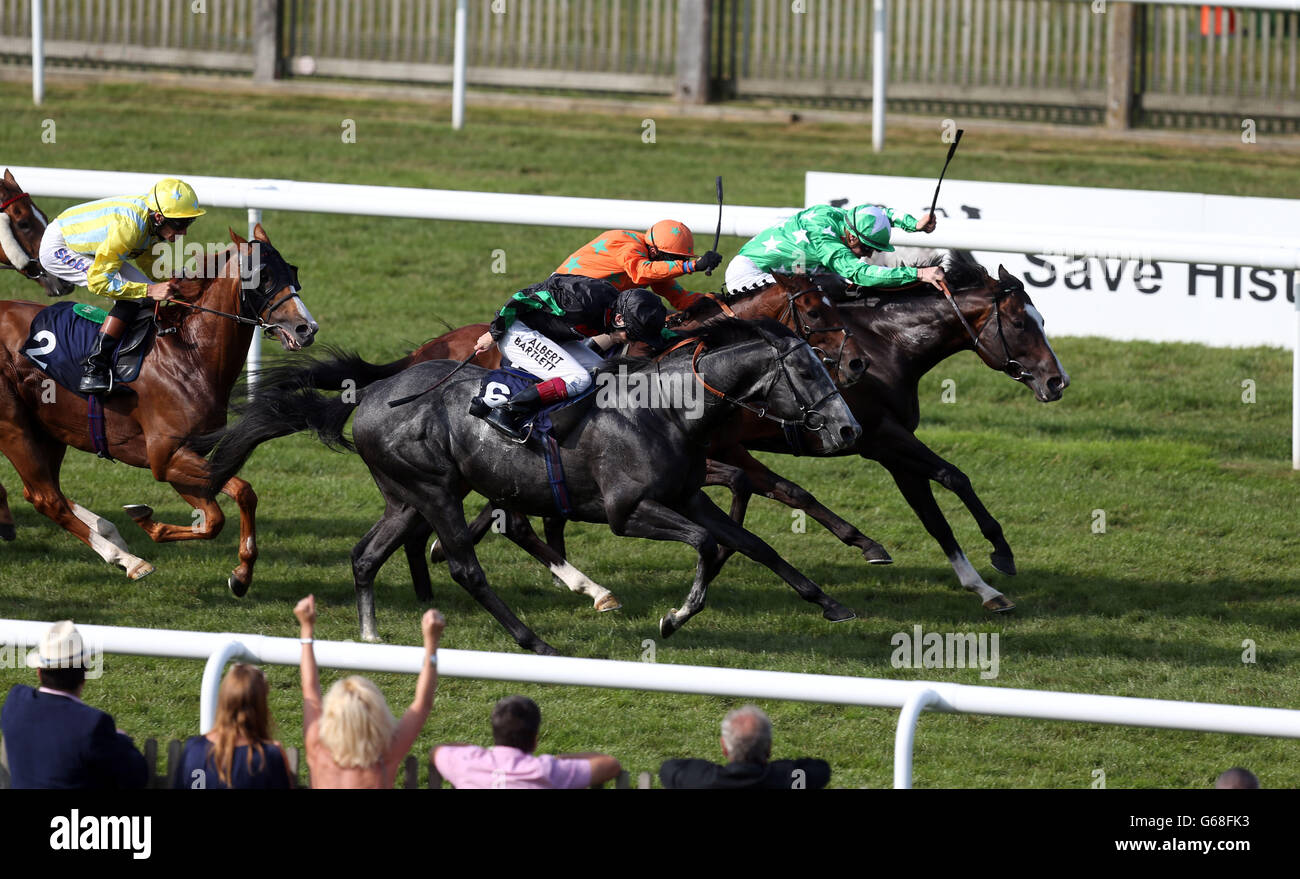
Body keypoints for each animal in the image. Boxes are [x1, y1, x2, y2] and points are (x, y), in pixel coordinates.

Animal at [0, 223, 317, 592]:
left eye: (292, 271)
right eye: (262, 276)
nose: (306, 328)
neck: (189, 356)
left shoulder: (183, 456)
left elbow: (220, 513)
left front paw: (239, 573)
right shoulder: (166, 457)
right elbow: (239, 495)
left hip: (49, 428)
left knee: (44, 492)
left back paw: (109, 532)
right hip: (14, 427)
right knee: (47, 498)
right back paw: (128, 560)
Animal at [200, 319, 863, 650]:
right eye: (808, 372)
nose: (848, 428)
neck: (667, 409)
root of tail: (368, 395)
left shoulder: (687, 495)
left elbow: (755, 545)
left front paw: (832, 604)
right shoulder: (628, 511)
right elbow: (705, 546)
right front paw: (675, 617)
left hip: (407, 496)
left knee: (366, 556)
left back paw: (369, 635)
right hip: (435, 492)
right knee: (464, 566)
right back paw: (533, 638)